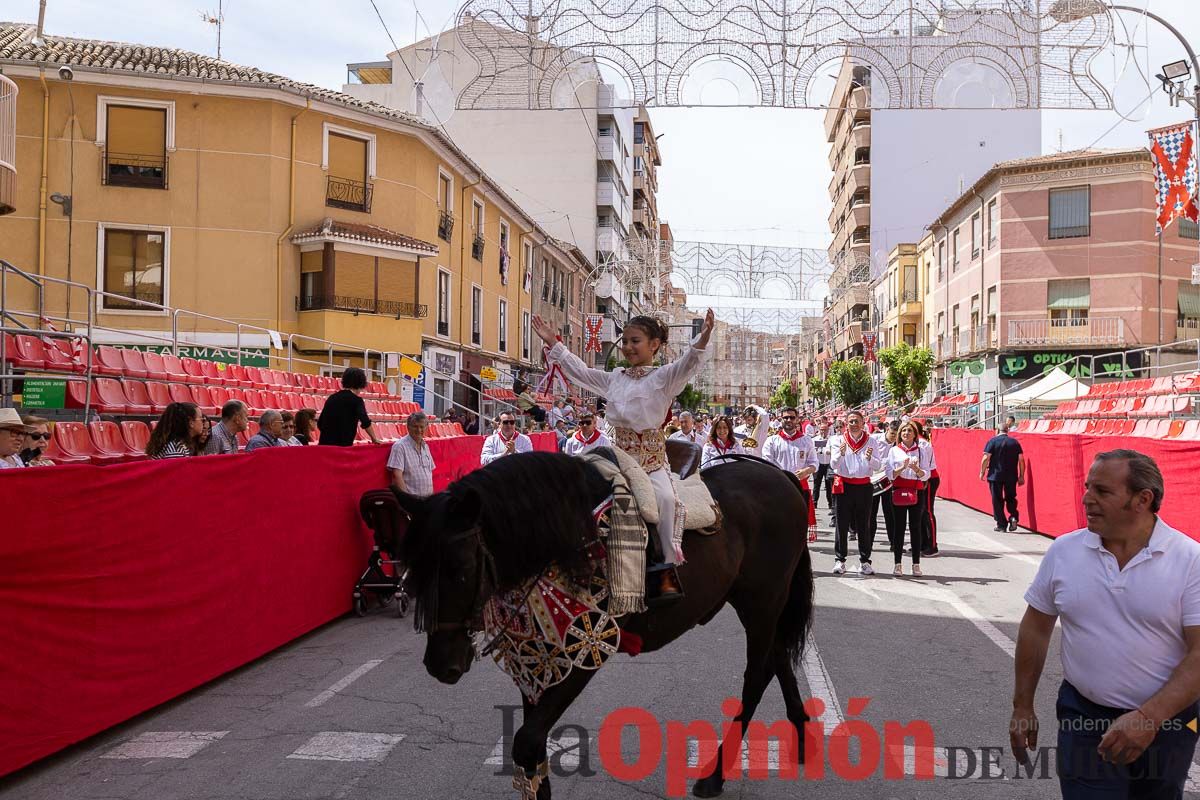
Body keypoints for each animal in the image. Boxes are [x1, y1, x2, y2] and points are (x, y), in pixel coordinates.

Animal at [393, 450, 816, 800]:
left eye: (459, 567)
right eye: (412, 568)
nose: (440, 664)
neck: (565, 539)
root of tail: (780, 475)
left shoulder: (585, 652)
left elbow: (527, 742)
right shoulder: (541, 658)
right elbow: (533, 748)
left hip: (762, 601)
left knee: (756, 676)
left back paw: (715, 775)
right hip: (758, 604)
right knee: (778, 659)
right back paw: (802, 737)